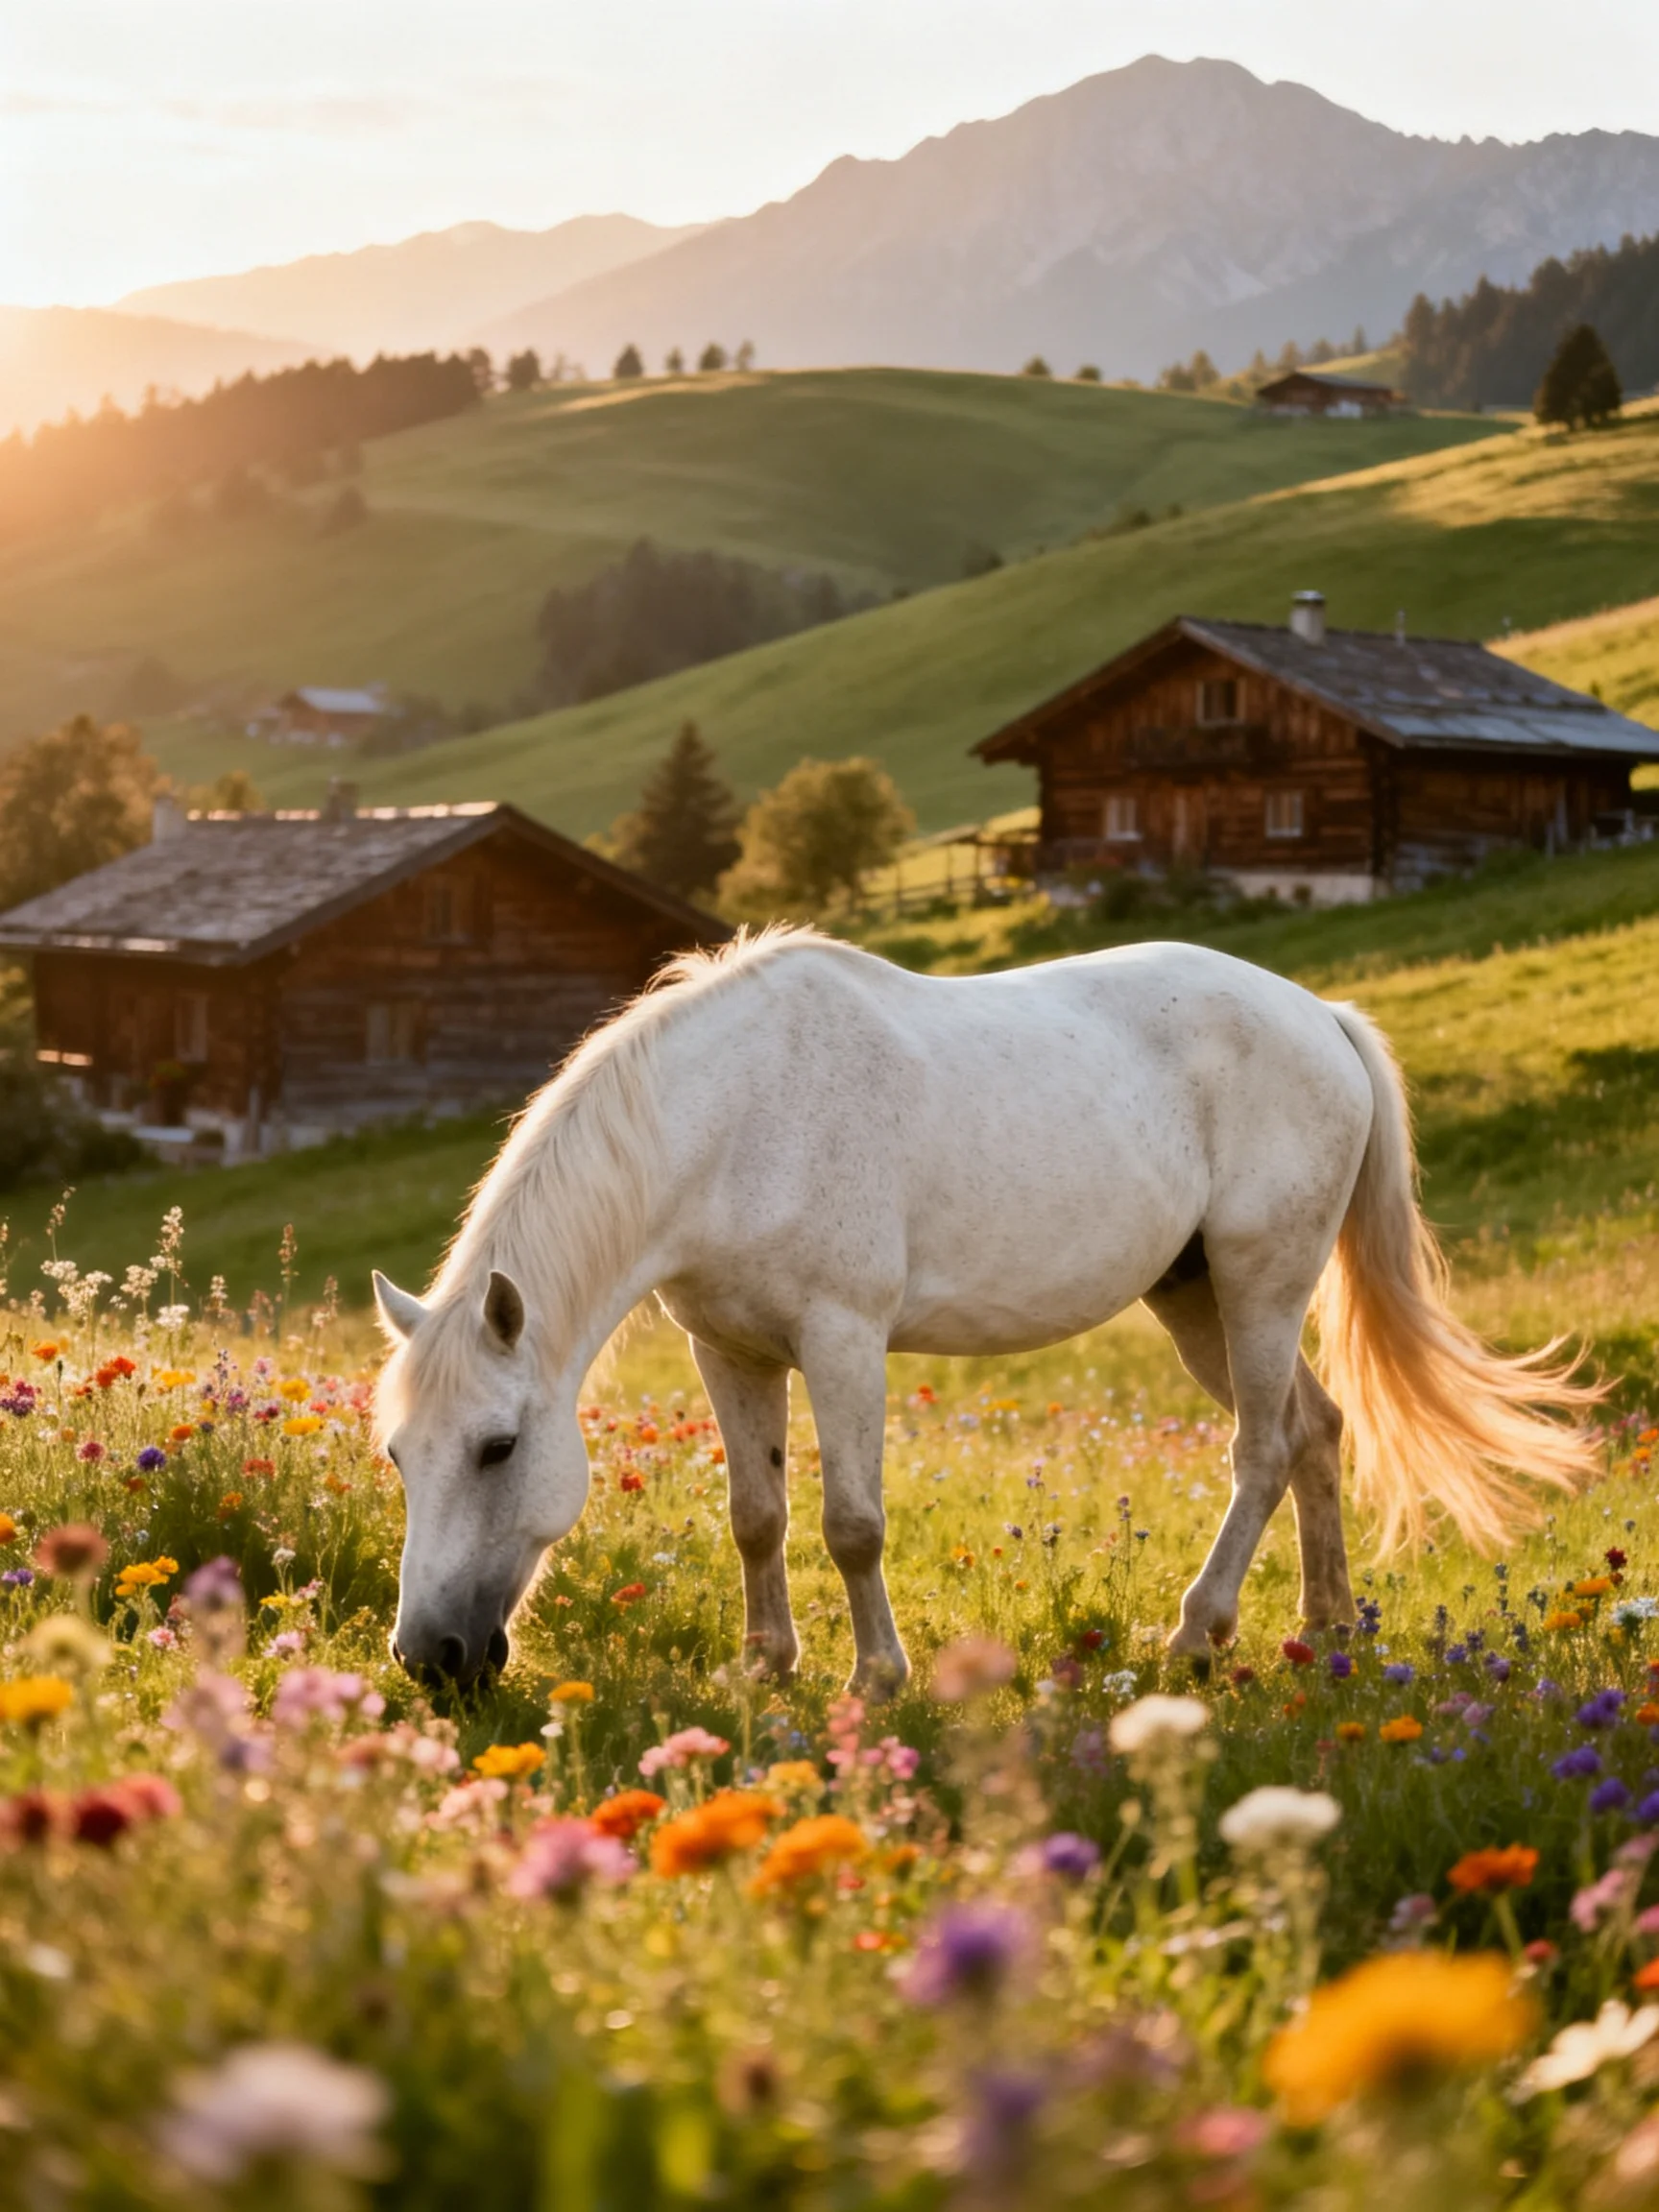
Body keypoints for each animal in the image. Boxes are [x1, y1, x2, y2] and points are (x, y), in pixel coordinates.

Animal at [372, 927, 1596, 1693]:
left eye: (497, 1447)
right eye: (396, 1455)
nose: (430, 1658)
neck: (729, 1121)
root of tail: (1321, 1018)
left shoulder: (843, 1340)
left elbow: (850, 1524)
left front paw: (876, 1679)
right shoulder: (728, 1350)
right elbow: (756, 1515)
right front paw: (765, 1666)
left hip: (1261, 1283)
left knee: (1262, 1448)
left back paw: (1195, 1636)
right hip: (1197, 1297)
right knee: (1316, 1430)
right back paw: (1325, 1625)